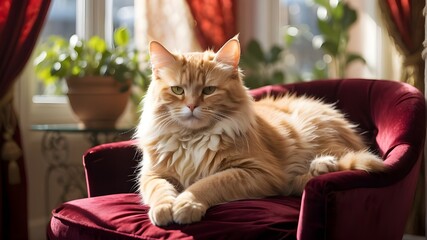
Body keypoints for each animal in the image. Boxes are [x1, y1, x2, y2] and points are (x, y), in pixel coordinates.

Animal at [135, 36, 388, 226]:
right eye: (177, 90)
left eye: (208, 90)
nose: (191, 106)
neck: (194, 139)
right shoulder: (153, 174)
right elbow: (160, 191)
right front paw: (164, 208)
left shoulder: (256, 171)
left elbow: (207, 183)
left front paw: (186, 204)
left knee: (348, 157)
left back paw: (322, 165)